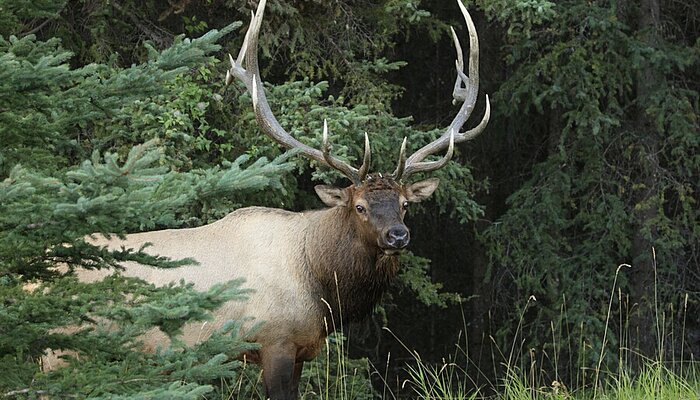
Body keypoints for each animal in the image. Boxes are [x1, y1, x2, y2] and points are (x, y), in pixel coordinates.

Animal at [42, 0, 489, 398]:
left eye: (405, 205)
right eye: (359, 206)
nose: (398, 236)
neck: (320, 286)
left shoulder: (302, 351)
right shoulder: (274, 341)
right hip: (59, 352)